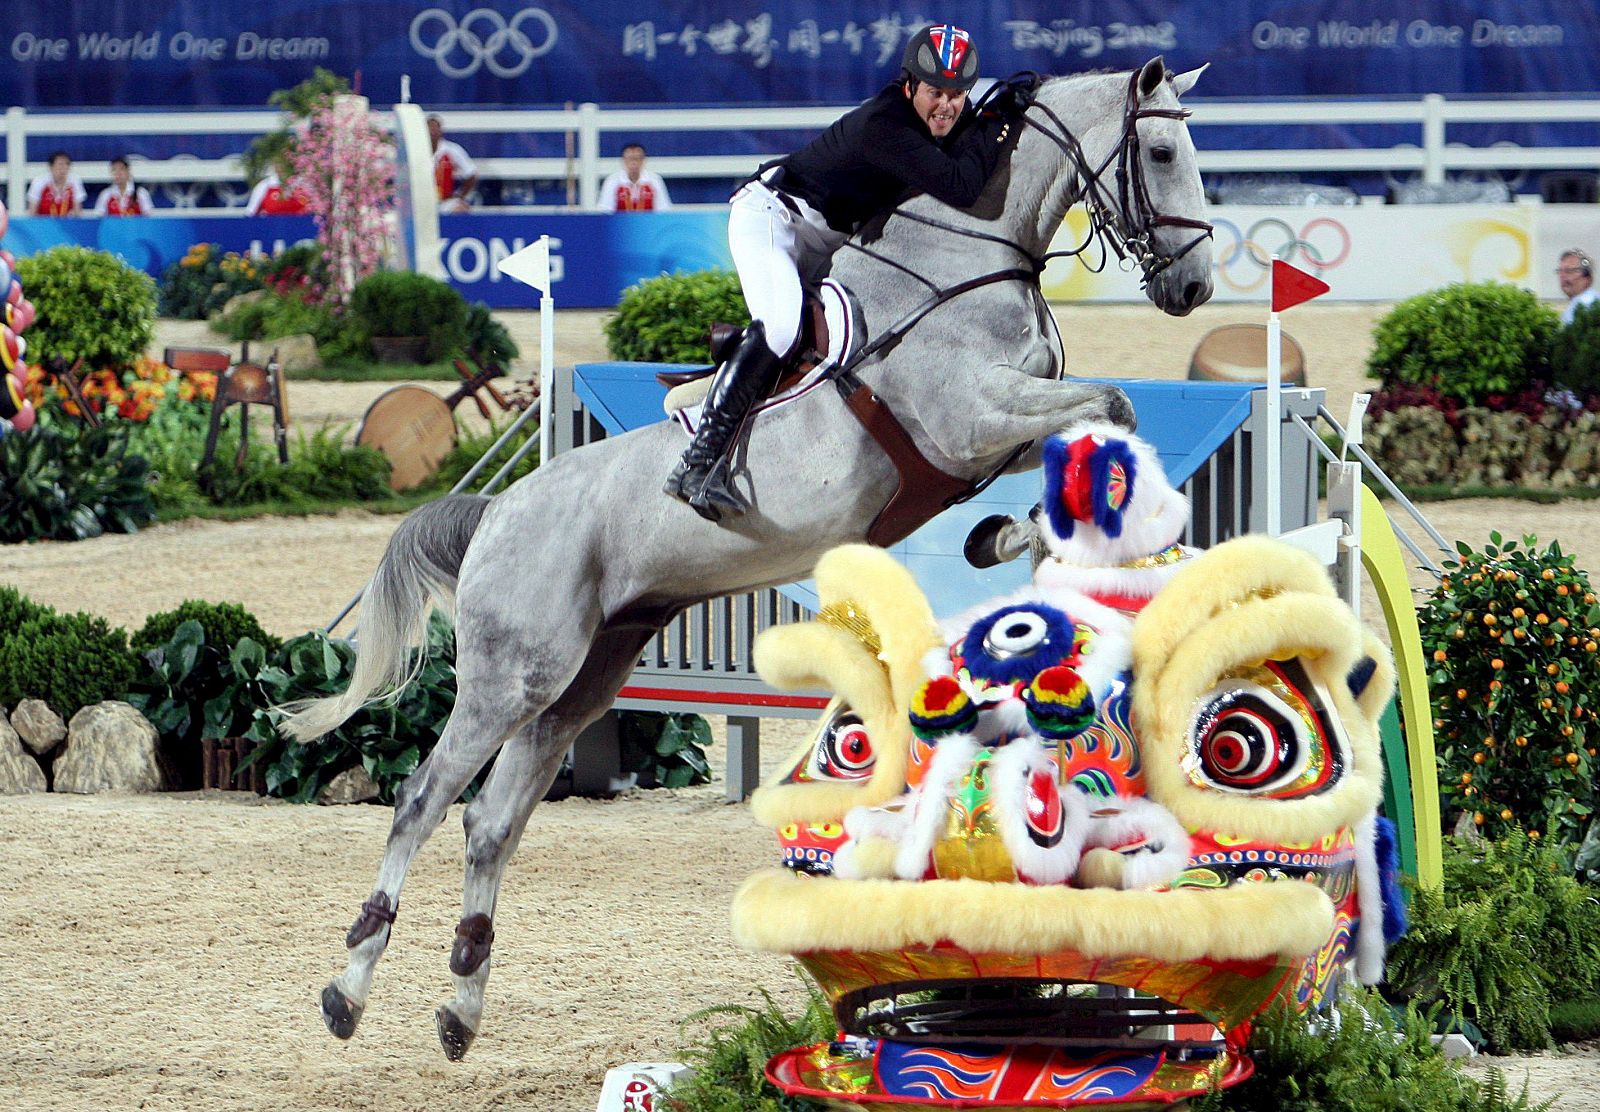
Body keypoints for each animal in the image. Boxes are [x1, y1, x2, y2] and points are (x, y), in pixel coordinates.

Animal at [288, 54, 1209, 1062]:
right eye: (1163, 154)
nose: (1195, 289)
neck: (974, 253)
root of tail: (498, 513)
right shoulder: (972, 417)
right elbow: (1110, 405)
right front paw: (1026, 533)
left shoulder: (994, 433)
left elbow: (1098, 423)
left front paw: (1012, 535)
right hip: (513, 676)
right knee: (423, 799)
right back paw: (346, 989)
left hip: (583, 676)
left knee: (493, 821)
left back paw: (460, 1006)